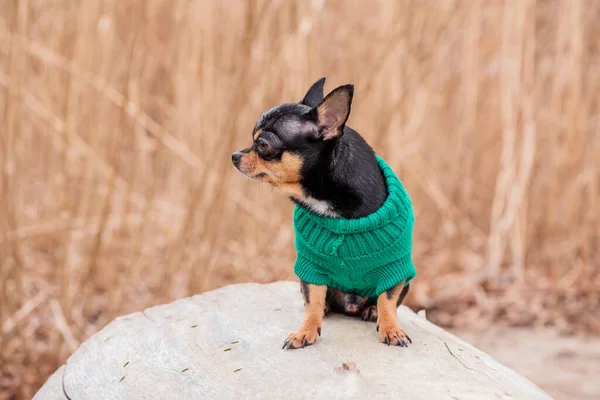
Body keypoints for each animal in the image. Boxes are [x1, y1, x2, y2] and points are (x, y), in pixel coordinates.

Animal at [232, 78, 414, 350]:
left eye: (262, 144)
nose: (234, 156)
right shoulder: (311, 265)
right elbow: (313, 300)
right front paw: (305, 330)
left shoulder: (394, 265)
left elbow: (388, 300)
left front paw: (391, 328)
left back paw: (371, 310)